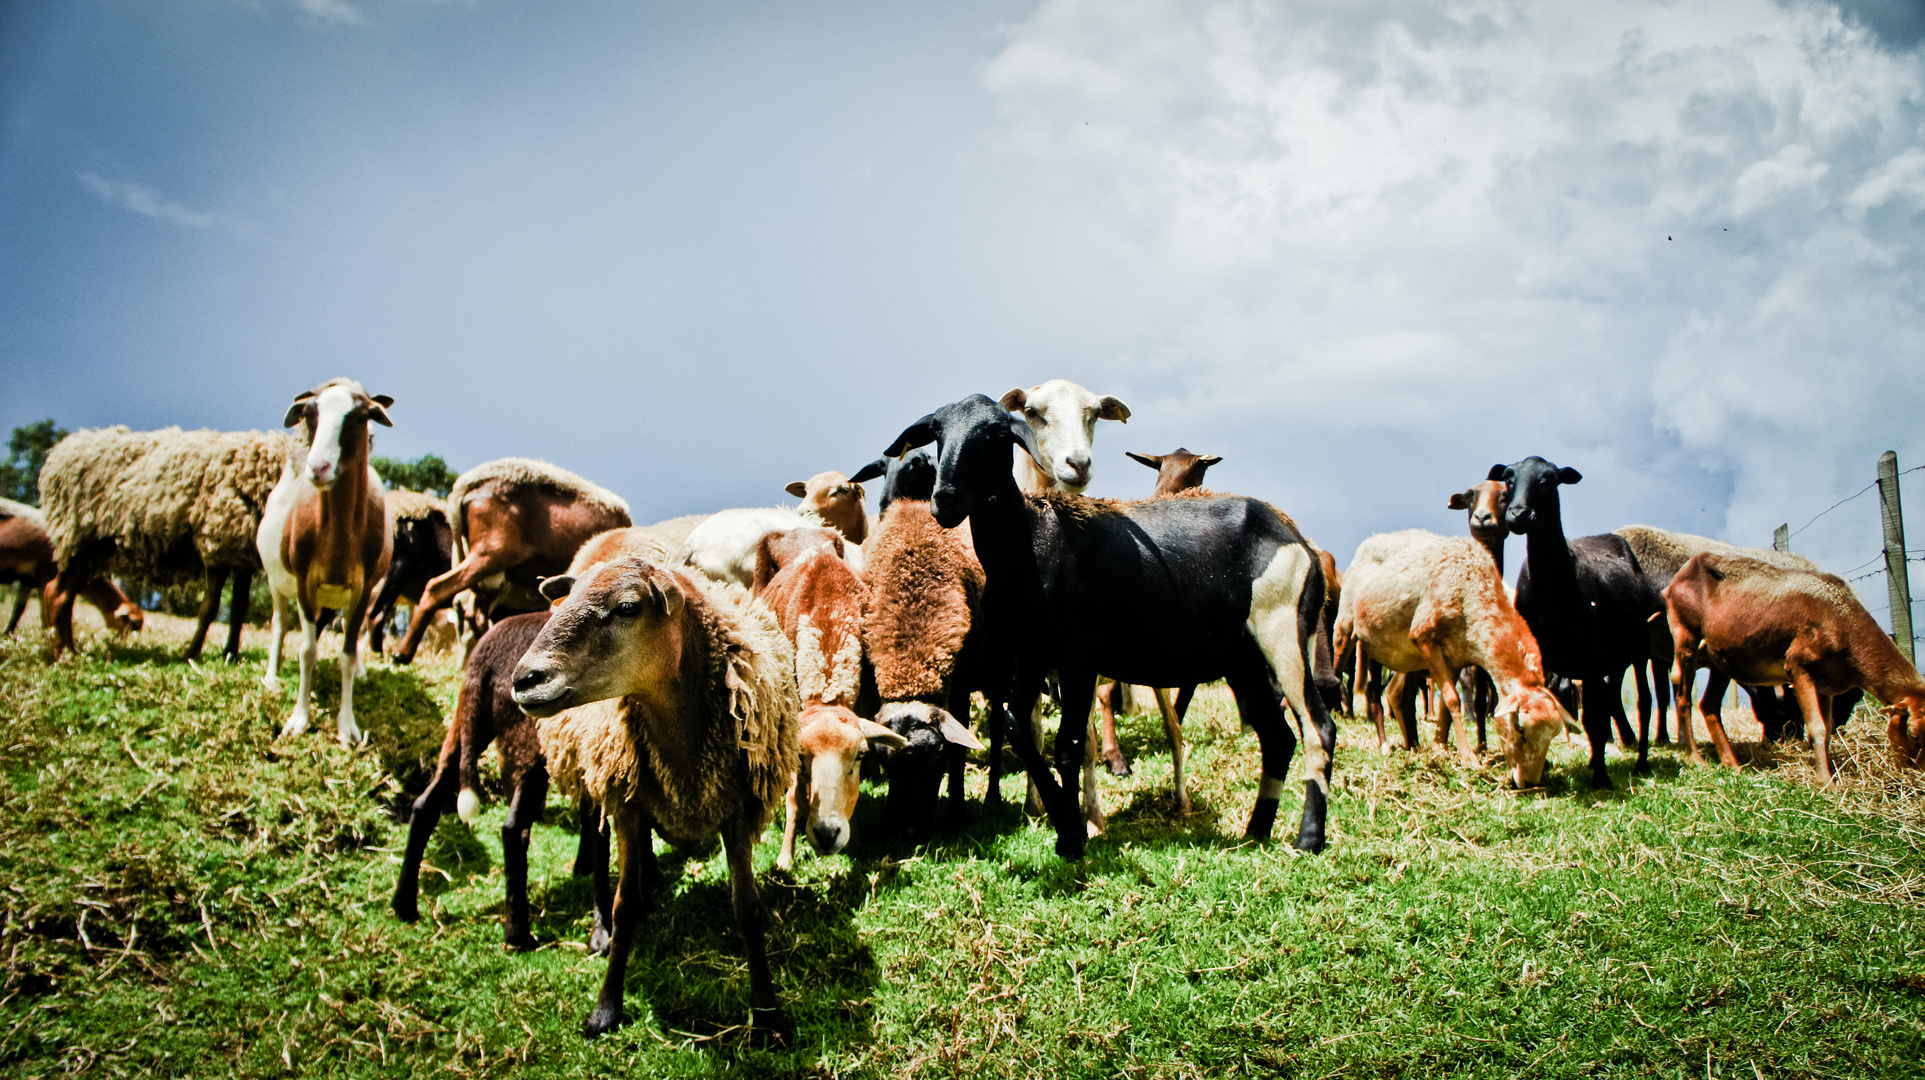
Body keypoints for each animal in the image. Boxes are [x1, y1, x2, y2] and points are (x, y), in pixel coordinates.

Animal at [41, 425, 294, 662]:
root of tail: (59, 453)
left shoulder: (241, 555)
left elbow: (239, 609)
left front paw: (230, 655)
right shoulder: (217, 544)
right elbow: (209, 607)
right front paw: (191, 653)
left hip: (91, 548)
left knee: (63, 594)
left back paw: (69, 650)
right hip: (78, 539)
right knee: (58, 594)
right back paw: (62, 654)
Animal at [256, 377, 394, 739]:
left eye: (360, 417)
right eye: (309, 414)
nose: (318, 468)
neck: (339, 536)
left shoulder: (363, 588)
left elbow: (346, 652)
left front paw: (347, 727)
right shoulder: (305, 582)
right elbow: (307, 651)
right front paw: (299, 718)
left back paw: (360, 670)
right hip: (277, 582)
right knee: (280, 623)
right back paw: (272, 676)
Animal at [508, 554, 800, 1047]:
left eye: (627, 607)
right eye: (569, 598)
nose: (525, 679)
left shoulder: (737, 810)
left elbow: (748, 908)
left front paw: (766, 1014)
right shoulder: (626, 805)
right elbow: (623, 904)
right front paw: (606, 1008)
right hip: (600, 778)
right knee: (598, 845)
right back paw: (603, 926)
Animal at [1332, 527, 1570, 781]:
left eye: (1551, 737)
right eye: (1520, 728)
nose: (1528, 782)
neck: (1473, 588)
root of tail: (1370, 540)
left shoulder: (1454, 658)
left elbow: (1446, 707)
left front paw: (1440, 748)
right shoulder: (1423, 636)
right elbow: (1453, 699)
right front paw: (1469, 758)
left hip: (1388, 649)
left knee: (1389, 694)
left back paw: (1409, 745)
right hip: (1346, 625)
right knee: (1341, 675)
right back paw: (1370, 738)